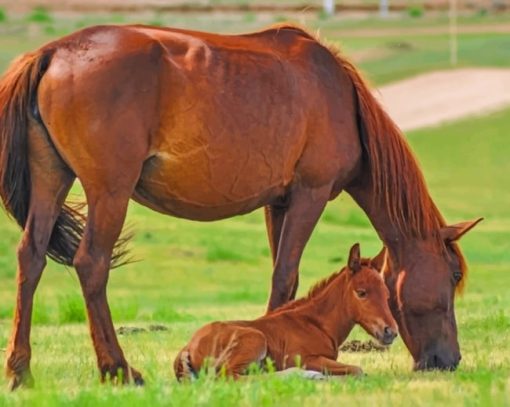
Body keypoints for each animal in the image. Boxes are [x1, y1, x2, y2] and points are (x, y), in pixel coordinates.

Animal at [175, 245, 398, 382]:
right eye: (361, 293)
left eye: (387, 294)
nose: (391, 332)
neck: (315, 324)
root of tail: (188, 347)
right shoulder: (305, 358)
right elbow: (357, 370)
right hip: (255, 339)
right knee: (231, 377)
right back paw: (303, 375)